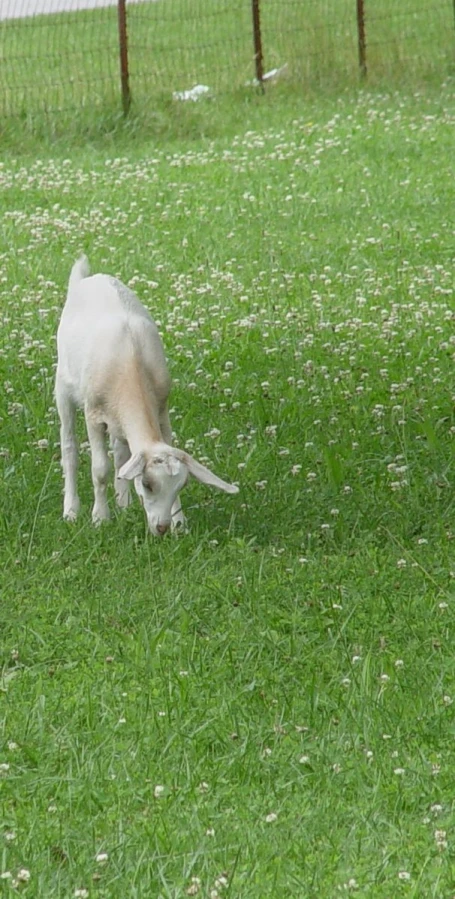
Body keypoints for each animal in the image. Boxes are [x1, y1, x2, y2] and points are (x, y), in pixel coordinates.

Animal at [55, 255, 240, 536]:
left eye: (181, 486)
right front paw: (100, 519)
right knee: (69, 449)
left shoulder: (161, 409)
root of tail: (87, 278)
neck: (130, 364)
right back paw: (72, 511)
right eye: (148, 484)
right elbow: (100, 469)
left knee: (120, 452)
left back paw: (123, 504)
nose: (161, 527)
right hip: (63, 387)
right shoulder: (93, 414)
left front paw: (180, 523)